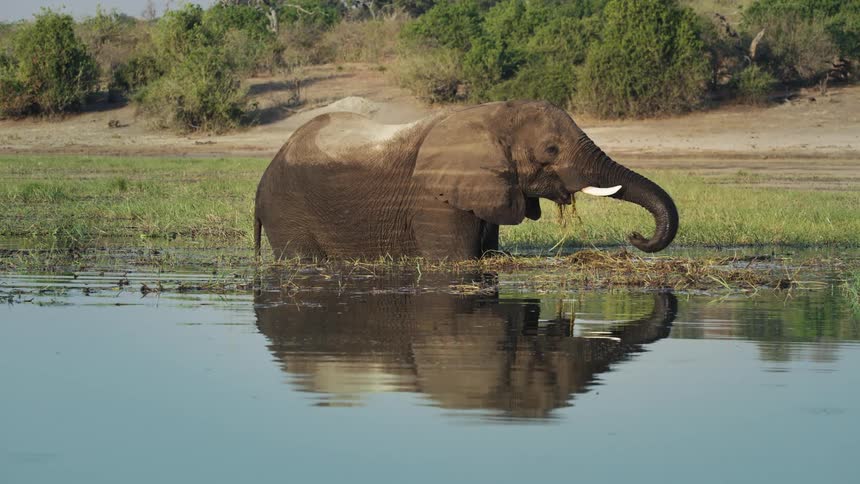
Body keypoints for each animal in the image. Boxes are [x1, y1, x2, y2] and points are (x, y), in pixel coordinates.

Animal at [254, 100, 678, 259]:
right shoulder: (434, 200)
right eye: (551, 150)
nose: (635, 236)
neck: (490, 116)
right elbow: (457, 262)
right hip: (286, 211)